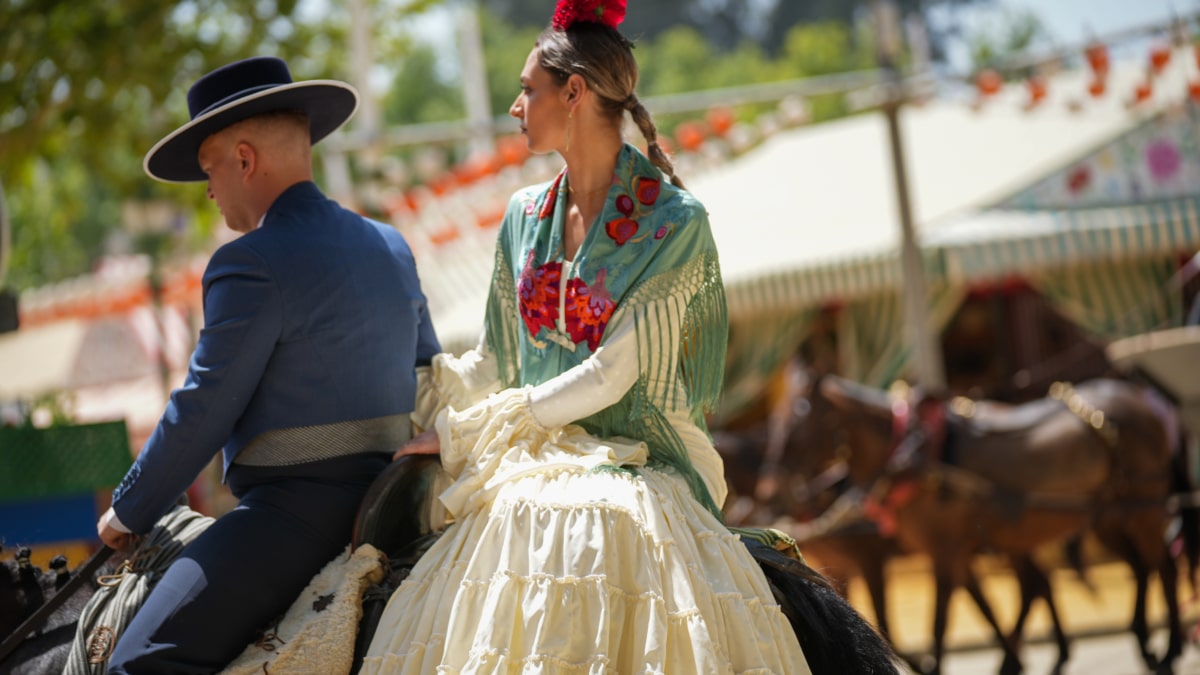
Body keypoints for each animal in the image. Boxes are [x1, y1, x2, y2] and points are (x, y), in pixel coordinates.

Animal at [758, 365, 1190, 672]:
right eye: (773, 415)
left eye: (798, 412)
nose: (770, 486)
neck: (913, 454)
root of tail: (1146, 402)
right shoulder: (952, 552)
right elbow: (981, 606)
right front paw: (1009, 658)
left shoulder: (934, 553)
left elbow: (937, 621)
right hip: (1107, 516)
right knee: (1130, 568)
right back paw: (1137, 642)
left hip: (1145, 505)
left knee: (1162, 565)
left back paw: (1169, 650)